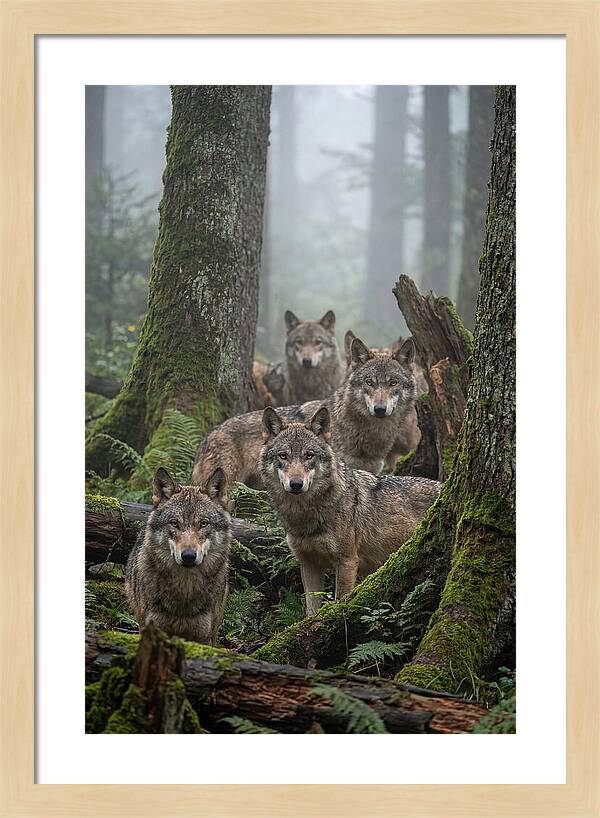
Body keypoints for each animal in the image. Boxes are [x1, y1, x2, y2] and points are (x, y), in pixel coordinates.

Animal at [260, 406, 440, 615]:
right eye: (283, 455)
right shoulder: (309, 564)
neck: (304, 516)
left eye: (309, 456)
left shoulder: (347, 562)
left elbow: (340, 602)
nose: (296, 484)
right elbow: (311, 610)